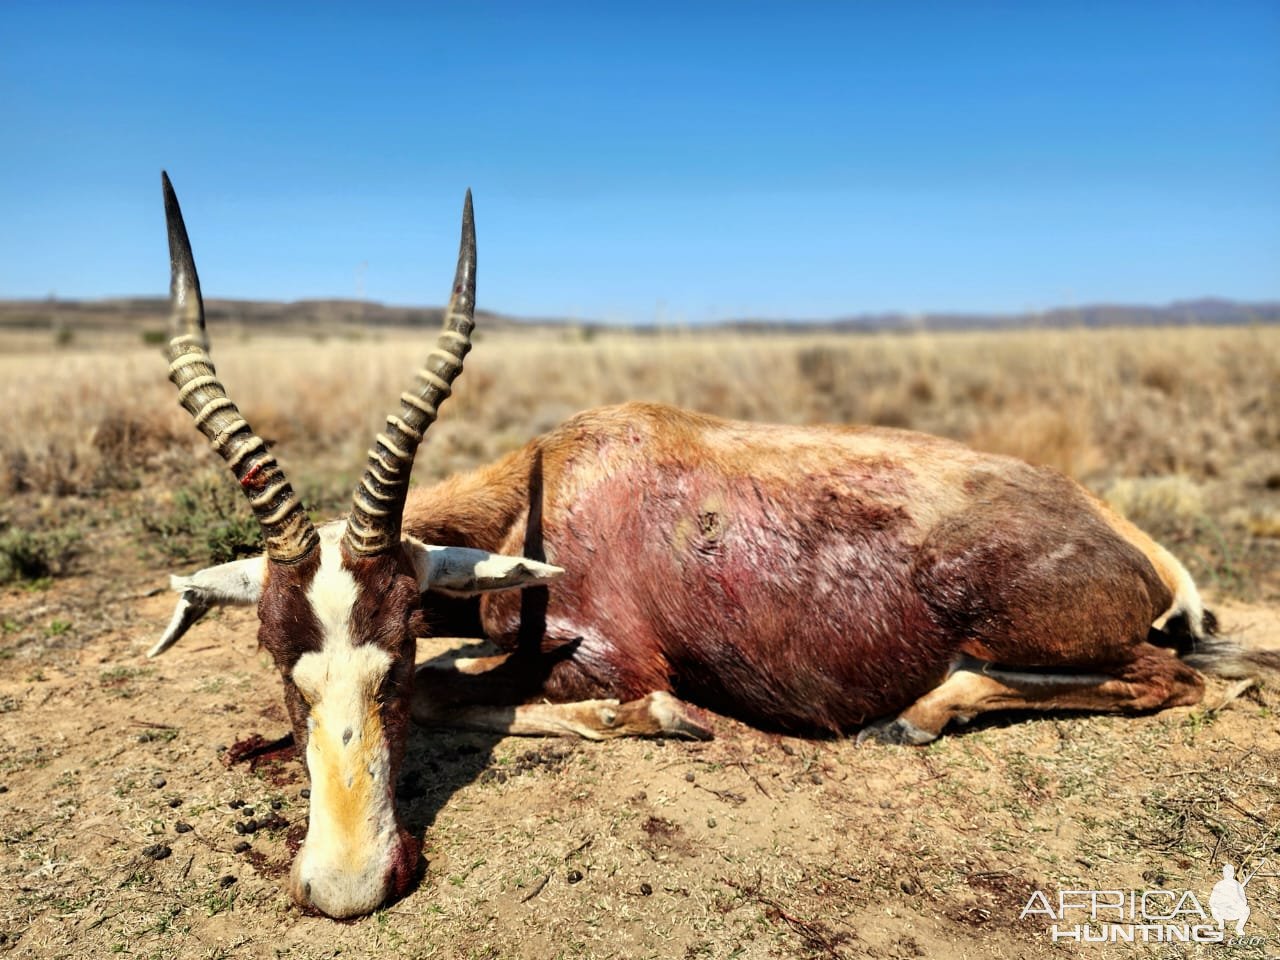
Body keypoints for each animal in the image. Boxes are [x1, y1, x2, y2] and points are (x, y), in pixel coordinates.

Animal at [154, 176, 1244, 921]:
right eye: (280, 663)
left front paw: (661, 720)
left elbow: (482, 691)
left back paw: (917, 716)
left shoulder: (606, 657)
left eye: (393, 653)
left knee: (1175, 680)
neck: (561, 471)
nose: (345, 886)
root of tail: (1128, 542)